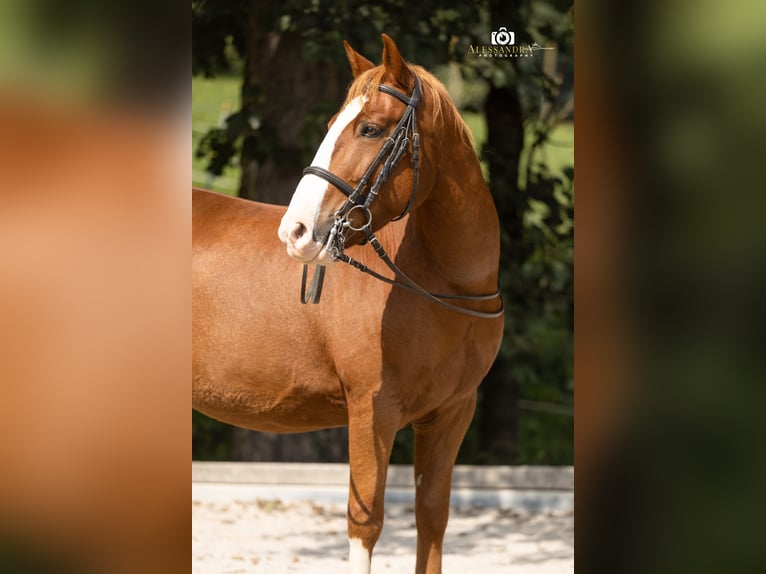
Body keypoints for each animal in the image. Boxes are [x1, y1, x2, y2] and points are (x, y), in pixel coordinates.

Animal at [192, 34, 504, 574]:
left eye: (370, 128)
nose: (295, 231)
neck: (442, 284)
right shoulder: (371, 410)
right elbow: (366, 525)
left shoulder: (452, 413)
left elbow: (432, 517)